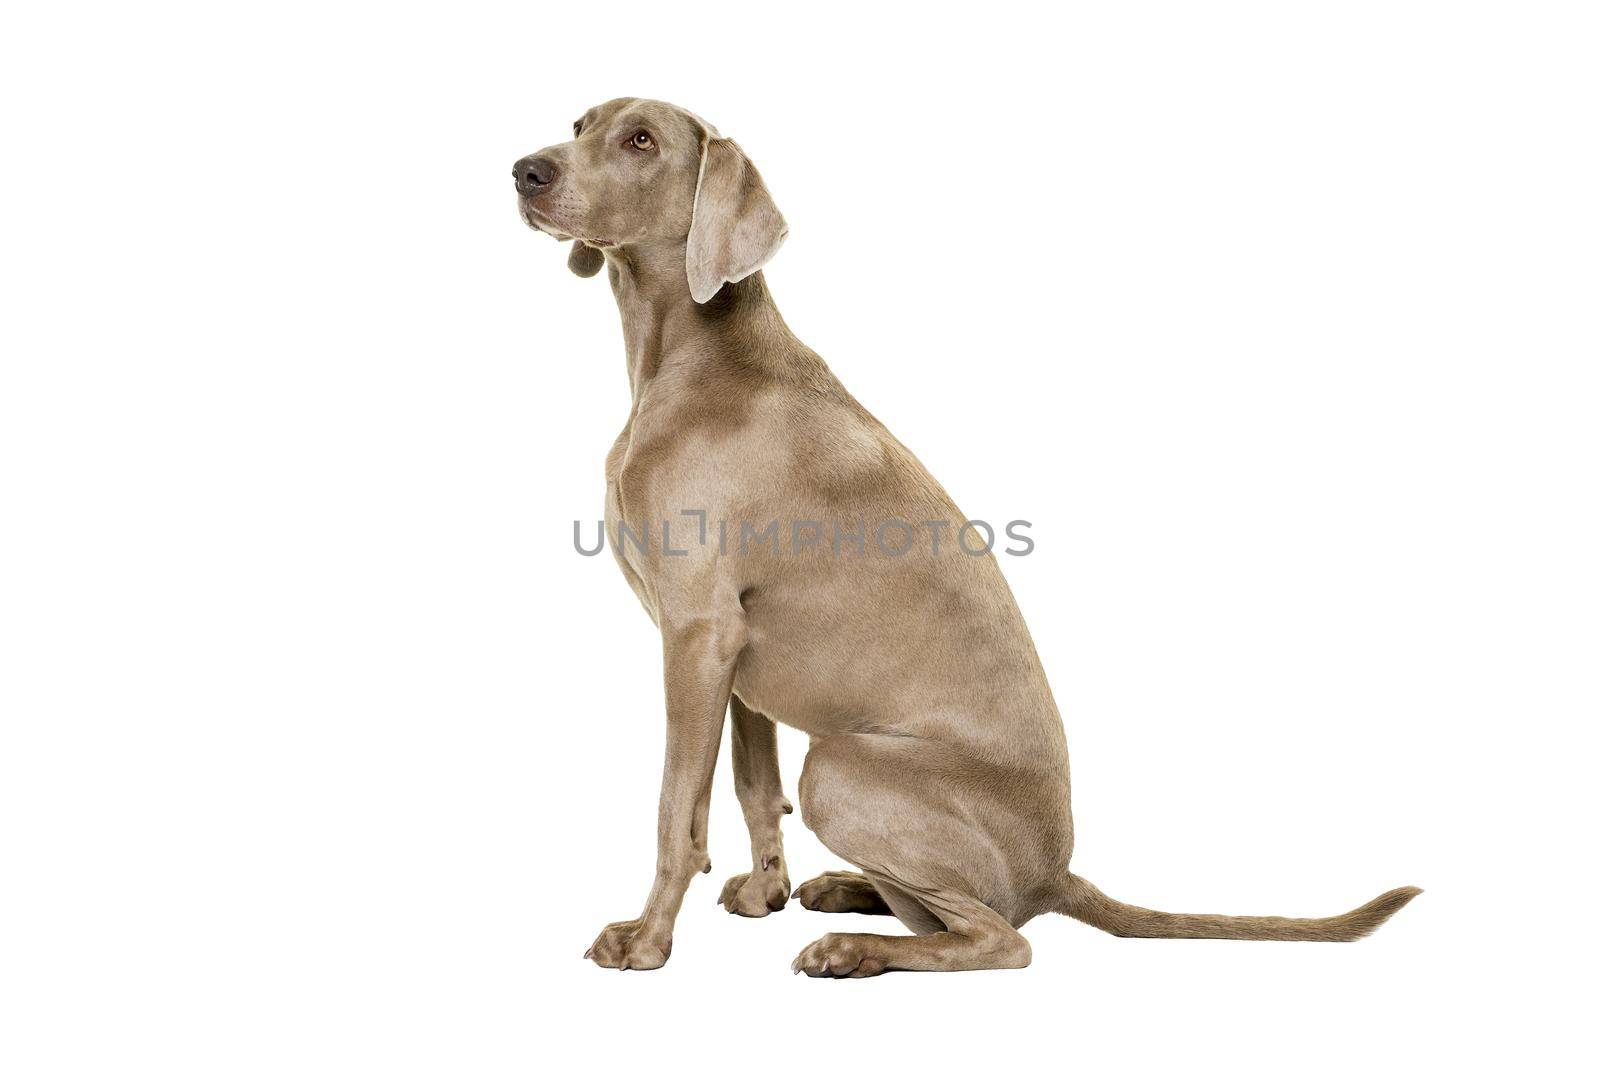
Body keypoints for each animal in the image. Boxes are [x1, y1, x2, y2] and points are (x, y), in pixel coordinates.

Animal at [515, 99, 1427, 979]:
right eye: (579, 125)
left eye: (640, 139)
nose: (525, 170)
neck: (694, 357)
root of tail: (1058, 872)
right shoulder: (732, 652)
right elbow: (750, 785)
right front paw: (763, 890)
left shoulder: (698, 633)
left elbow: (678, 809)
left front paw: (647, 941)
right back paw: (845, 893)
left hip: (842, 766)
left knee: (1001, 937)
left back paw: (851, 949)